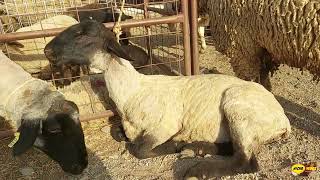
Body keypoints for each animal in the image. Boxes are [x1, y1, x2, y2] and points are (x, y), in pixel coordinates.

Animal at [45, 20, 292, 179]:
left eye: (82, 34)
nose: (47, 51)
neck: (133, 91)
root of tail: (283, 120)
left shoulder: (166, 125)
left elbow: (138, 149)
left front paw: (173, 145)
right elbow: (117, 133)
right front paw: (179, 144)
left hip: (238, 108)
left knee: (246, 161)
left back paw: (198, 170)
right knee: (233, 149)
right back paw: (196, 148)